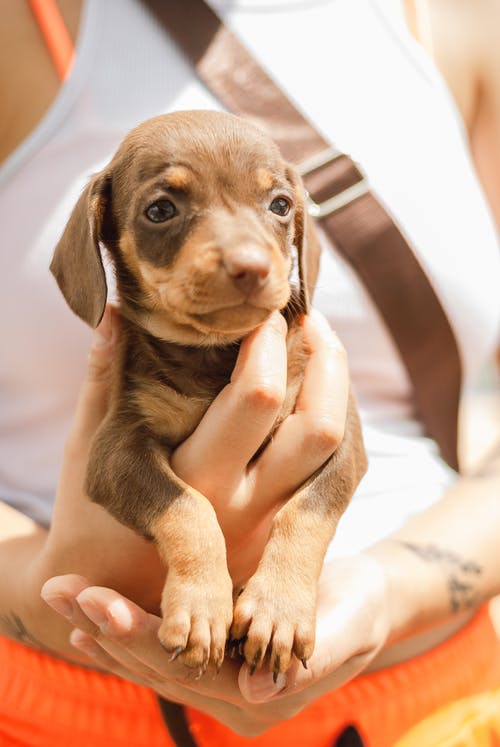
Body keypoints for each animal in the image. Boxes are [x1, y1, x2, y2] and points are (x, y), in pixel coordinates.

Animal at [51, 109, 368, 676]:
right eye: (160, 210)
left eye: (280, 204)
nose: (251, 267)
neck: (213, 356)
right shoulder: (115, 450)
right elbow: (188, 507)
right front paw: (201, 606)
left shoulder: (343, 440)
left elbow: (306, 513)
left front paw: (278, 608)